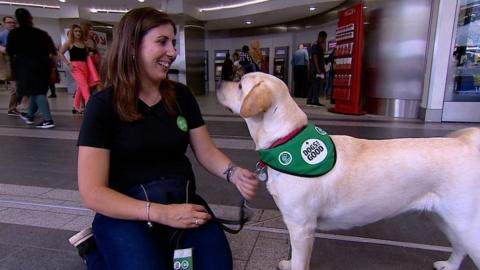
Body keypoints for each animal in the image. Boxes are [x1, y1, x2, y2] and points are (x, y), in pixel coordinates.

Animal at [217, 72, 480, 270]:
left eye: (239, 85)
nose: (218, 81)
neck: (286, 140)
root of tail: (467, 143)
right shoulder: (295, 223)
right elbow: (295, 256)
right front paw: (289, 263)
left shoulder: (302, 226)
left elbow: (301, 262)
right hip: (445, 218)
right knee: (459, 247)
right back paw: (449, 265)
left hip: (467, 224)